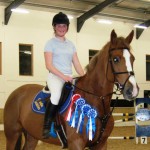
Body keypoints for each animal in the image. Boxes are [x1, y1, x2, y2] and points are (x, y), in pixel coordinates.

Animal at [3, 29, 139, 149]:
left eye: (133, 58)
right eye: (116, 59)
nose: (132, 90)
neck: (95, 102)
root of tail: (16, 93)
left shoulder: (101, 144)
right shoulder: (76, 143)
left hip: (32, 136)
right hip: (12, 135)